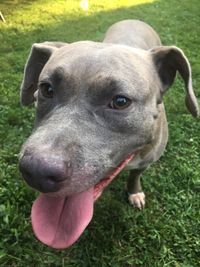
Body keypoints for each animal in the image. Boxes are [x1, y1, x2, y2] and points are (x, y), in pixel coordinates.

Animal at [18, 19, 198, 250]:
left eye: (120, 101)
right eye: (46, 89)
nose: (37, 171)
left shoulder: (146, 160)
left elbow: (135, 175)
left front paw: (134, 191)